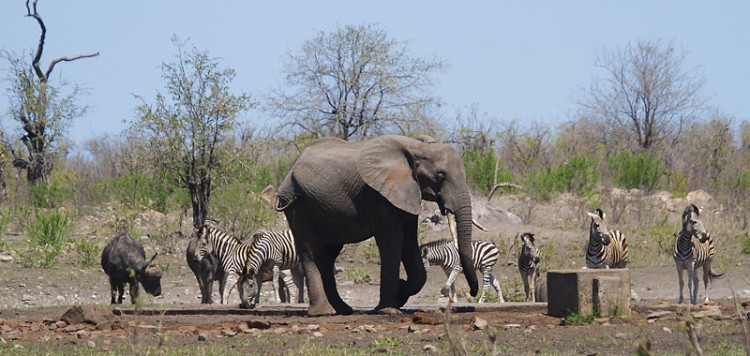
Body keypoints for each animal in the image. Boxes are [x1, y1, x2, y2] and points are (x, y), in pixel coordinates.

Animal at [276, 135, 482, 316]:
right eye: (440, 176)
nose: (473, 292)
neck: (417, 148)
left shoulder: (406, 193)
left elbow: (410, 244)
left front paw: (400, 292)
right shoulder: (379, 195)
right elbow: (392, 242)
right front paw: (389, 309)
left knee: (327, 256)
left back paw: (343, 310)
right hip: (298, 205)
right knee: (311, 251)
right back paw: (322, 313)